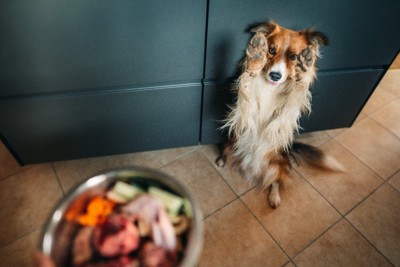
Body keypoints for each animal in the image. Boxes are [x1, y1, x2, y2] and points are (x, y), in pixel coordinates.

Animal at [217, 21, 340, 209]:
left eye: (294, 57)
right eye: (272, 50)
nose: (275, 75)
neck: (270, 87)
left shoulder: (282, 121)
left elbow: (297, 94)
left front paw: (306, 67)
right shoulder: (245, 113)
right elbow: (247, 84)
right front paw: (255, 58)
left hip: (275, 165)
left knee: (276, 181)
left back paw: (274, 198)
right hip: (232, 142)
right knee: (226, 149)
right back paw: (221, 161)